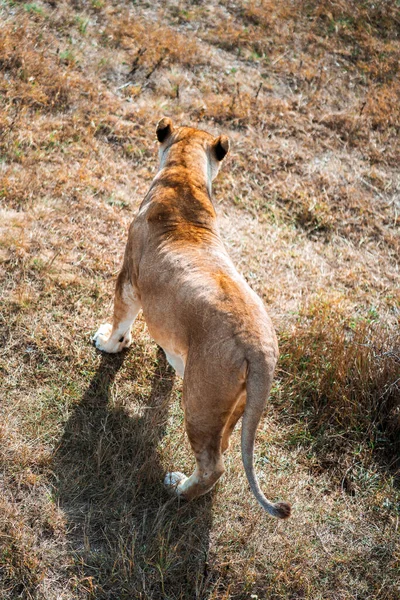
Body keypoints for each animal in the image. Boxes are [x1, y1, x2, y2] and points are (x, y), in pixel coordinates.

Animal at [95, 118, 292, 520]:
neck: (185, 176)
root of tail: (260, 349)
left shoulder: (128, 280)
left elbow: (121, 318)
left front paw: (109, 343)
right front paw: (164, 356)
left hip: (201, 402)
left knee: (213, 465)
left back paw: (176, 489)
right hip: (235, 406)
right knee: (226, 445)